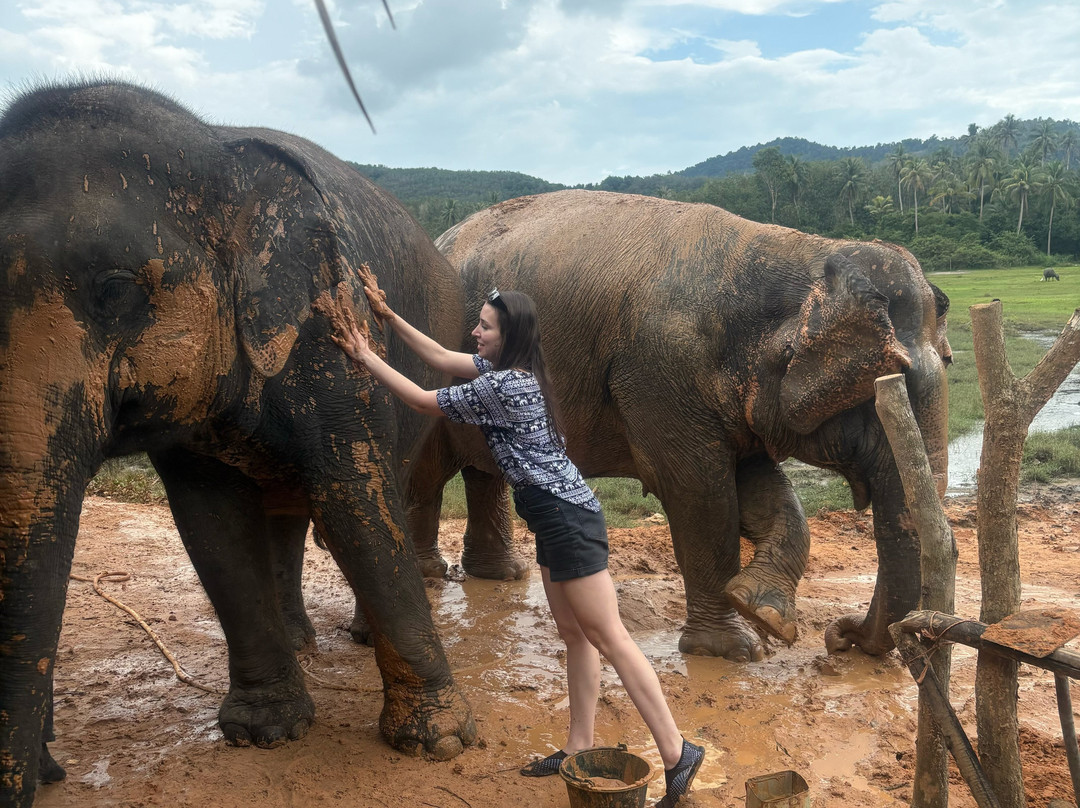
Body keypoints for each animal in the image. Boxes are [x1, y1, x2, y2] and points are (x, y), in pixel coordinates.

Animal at [0, 80, 476, 807]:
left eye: (116, 290)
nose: (47, 774)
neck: (217, 150)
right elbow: (214, 526)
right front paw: (266, 733)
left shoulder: (329, 333)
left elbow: (356, 505)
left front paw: (438, 743)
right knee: (284, 513)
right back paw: (302, 642)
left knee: (372, 490)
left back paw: (357, 638)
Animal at [419, 189, 951, 663]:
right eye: (882, 388)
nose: (841, 637)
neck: (788, 252)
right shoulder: (659, 370)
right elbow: (699, 493)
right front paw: (734, 650)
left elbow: (761, 491)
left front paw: (764, 615)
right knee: (424, 470)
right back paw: (431, 573)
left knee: (483, 470)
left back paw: (501, 575)